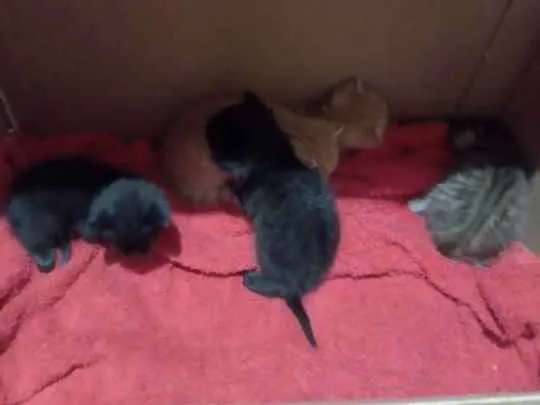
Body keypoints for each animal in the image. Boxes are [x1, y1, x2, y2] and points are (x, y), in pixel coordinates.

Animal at [206, 91, 340, 347]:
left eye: (216, 136)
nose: (205, 124)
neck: (276, 154)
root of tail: (296, 289)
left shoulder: (248, 196)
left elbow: (238, 192)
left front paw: (228, 186)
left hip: (265, 252)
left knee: (273, 288)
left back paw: (249, 279)